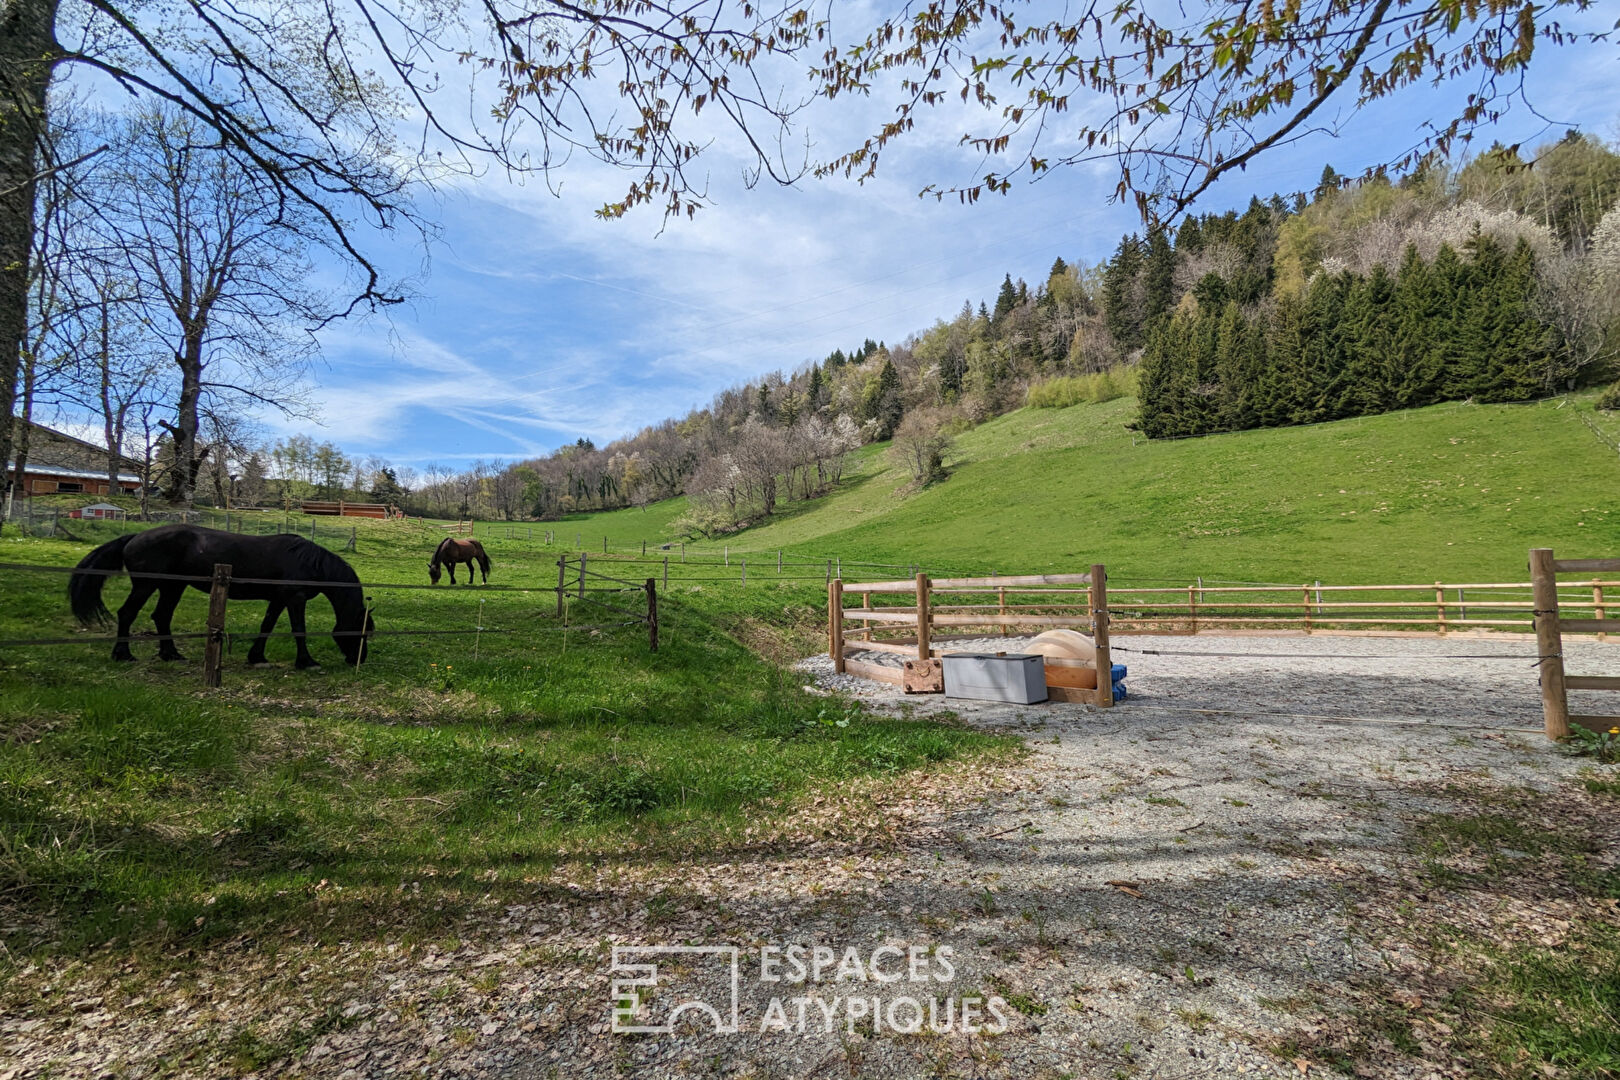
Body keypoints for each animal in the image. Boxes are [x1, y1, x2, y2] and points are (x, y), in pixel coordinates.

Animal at [69, 524, 375, 667]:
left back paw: (171, 655)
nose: (359, 659)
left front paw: (257, 657)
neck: (309, 563)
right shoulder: (294, 599)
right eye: (361, 632)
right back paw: (123, 655)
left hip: (173, 587)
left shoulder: (278, 600)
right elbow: (298, 629)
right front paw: (306, 662)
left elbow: (266, 626)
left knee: (161, 616)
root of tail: (134, 537)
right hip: (146, 585)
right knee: (128, 614)